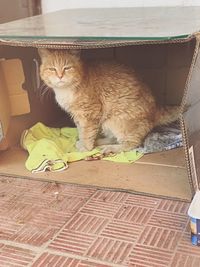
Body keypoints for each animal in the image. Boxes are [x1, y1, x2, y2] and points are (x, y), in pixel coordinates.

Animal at [38, 48, 180, 153]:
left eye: (67, 68)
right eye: (52, 69)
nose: (60, 76)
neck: (65, 91)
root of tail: (156, 109)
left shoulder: (90, 113)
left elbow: (87, 133)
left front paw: (86, 148)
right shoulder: (77, 116)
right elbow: (81, 131)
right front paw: (83, 142)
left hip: (114, 121)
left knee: (132, 144)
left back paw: (109, 148)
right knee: (114, 138)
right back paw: (99, 142)